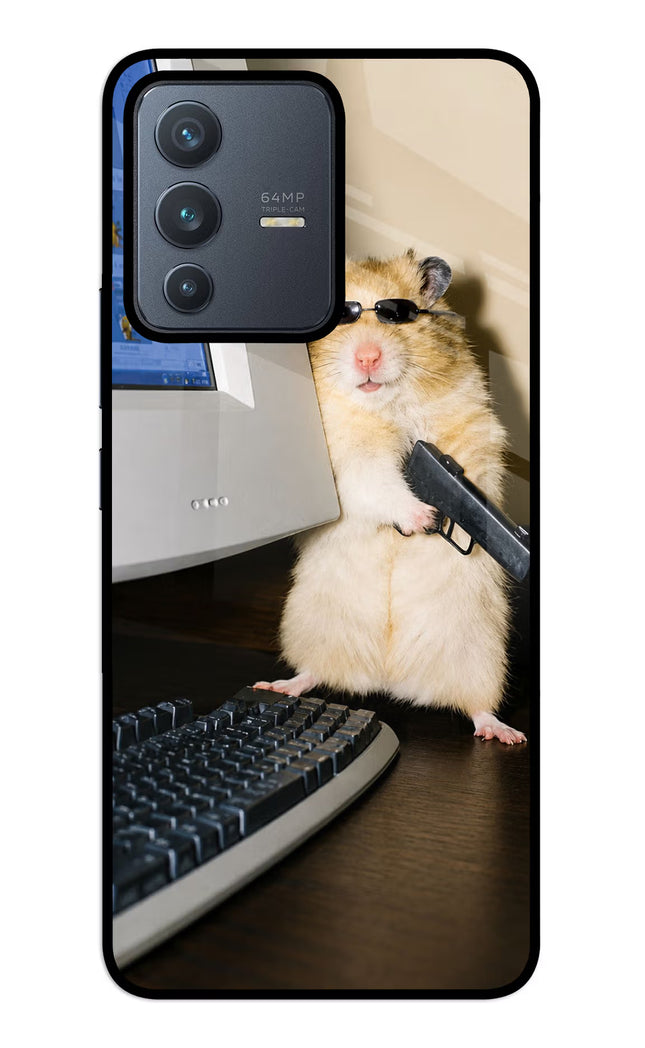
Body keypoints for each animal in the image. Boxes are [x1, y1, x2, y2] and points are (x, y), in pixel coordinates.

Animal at [256, 251, 526, 744]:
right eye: (342, 318)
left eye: (397, 315)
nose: (368, 356)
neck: (385, 404)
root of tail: (388, 678)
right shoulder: (347, 459)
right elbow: (378, 483)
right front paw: (423, 518)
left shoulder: (471, 427)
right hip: (312, 626)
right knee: (314, 672)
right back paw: (279, 685)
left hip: (480, 654)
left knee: (477, 705)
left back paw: (504, 733)